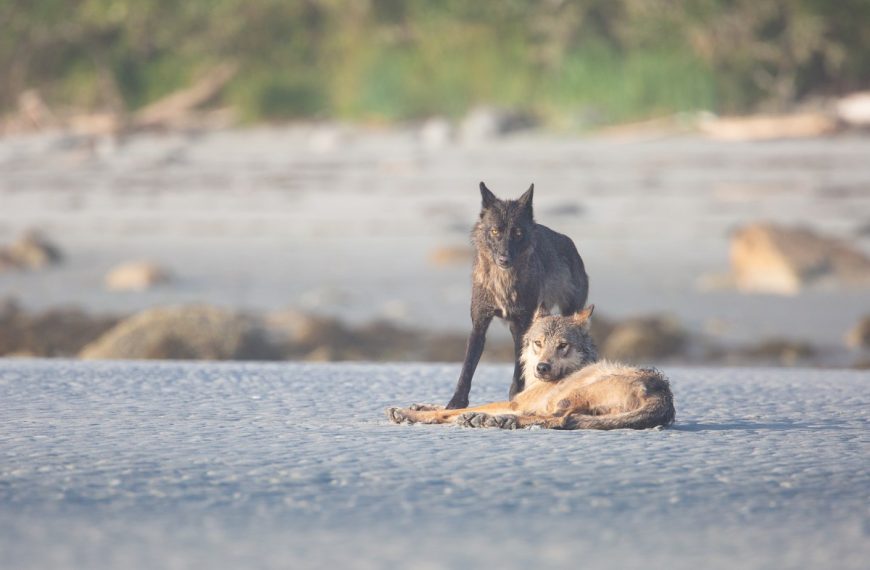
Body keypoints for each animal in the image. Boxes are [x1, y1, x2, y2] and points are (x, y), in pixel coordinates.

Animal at [388, 306, 675, 430]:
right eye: (538, 343)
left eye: (562, 345)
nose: (542, 367)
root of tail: (664, 394)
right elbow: (449, 407)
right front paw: (419, 406)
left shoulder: (516, 402)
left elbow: (449, 411)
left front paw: (407, 414)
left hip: (570, 397)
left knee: (560, 419)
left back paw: (494, 420)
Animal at [445, 182, 588, 409]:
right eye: (495, 231)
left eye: (518, 233)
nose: (504, 258)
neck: (503, 282)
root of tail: (569, 243)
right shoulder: (479, 324)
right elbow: (467, 366)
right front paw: (456, 401)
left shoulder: (523, 325)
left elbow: (519, 364)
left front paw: (516, 395)